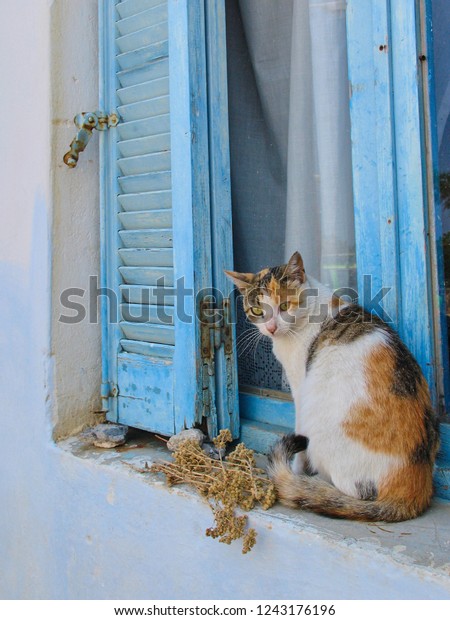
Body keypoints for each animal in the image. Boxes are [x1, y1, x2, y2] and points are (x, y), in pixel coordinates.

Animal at [225, 249, 440, 520]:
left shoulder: (300, 388)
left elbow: (299, 441)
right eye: (256, 310)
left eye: (284, 306)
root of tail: (414, 491)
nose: (271, 328)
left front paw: (297, 471)